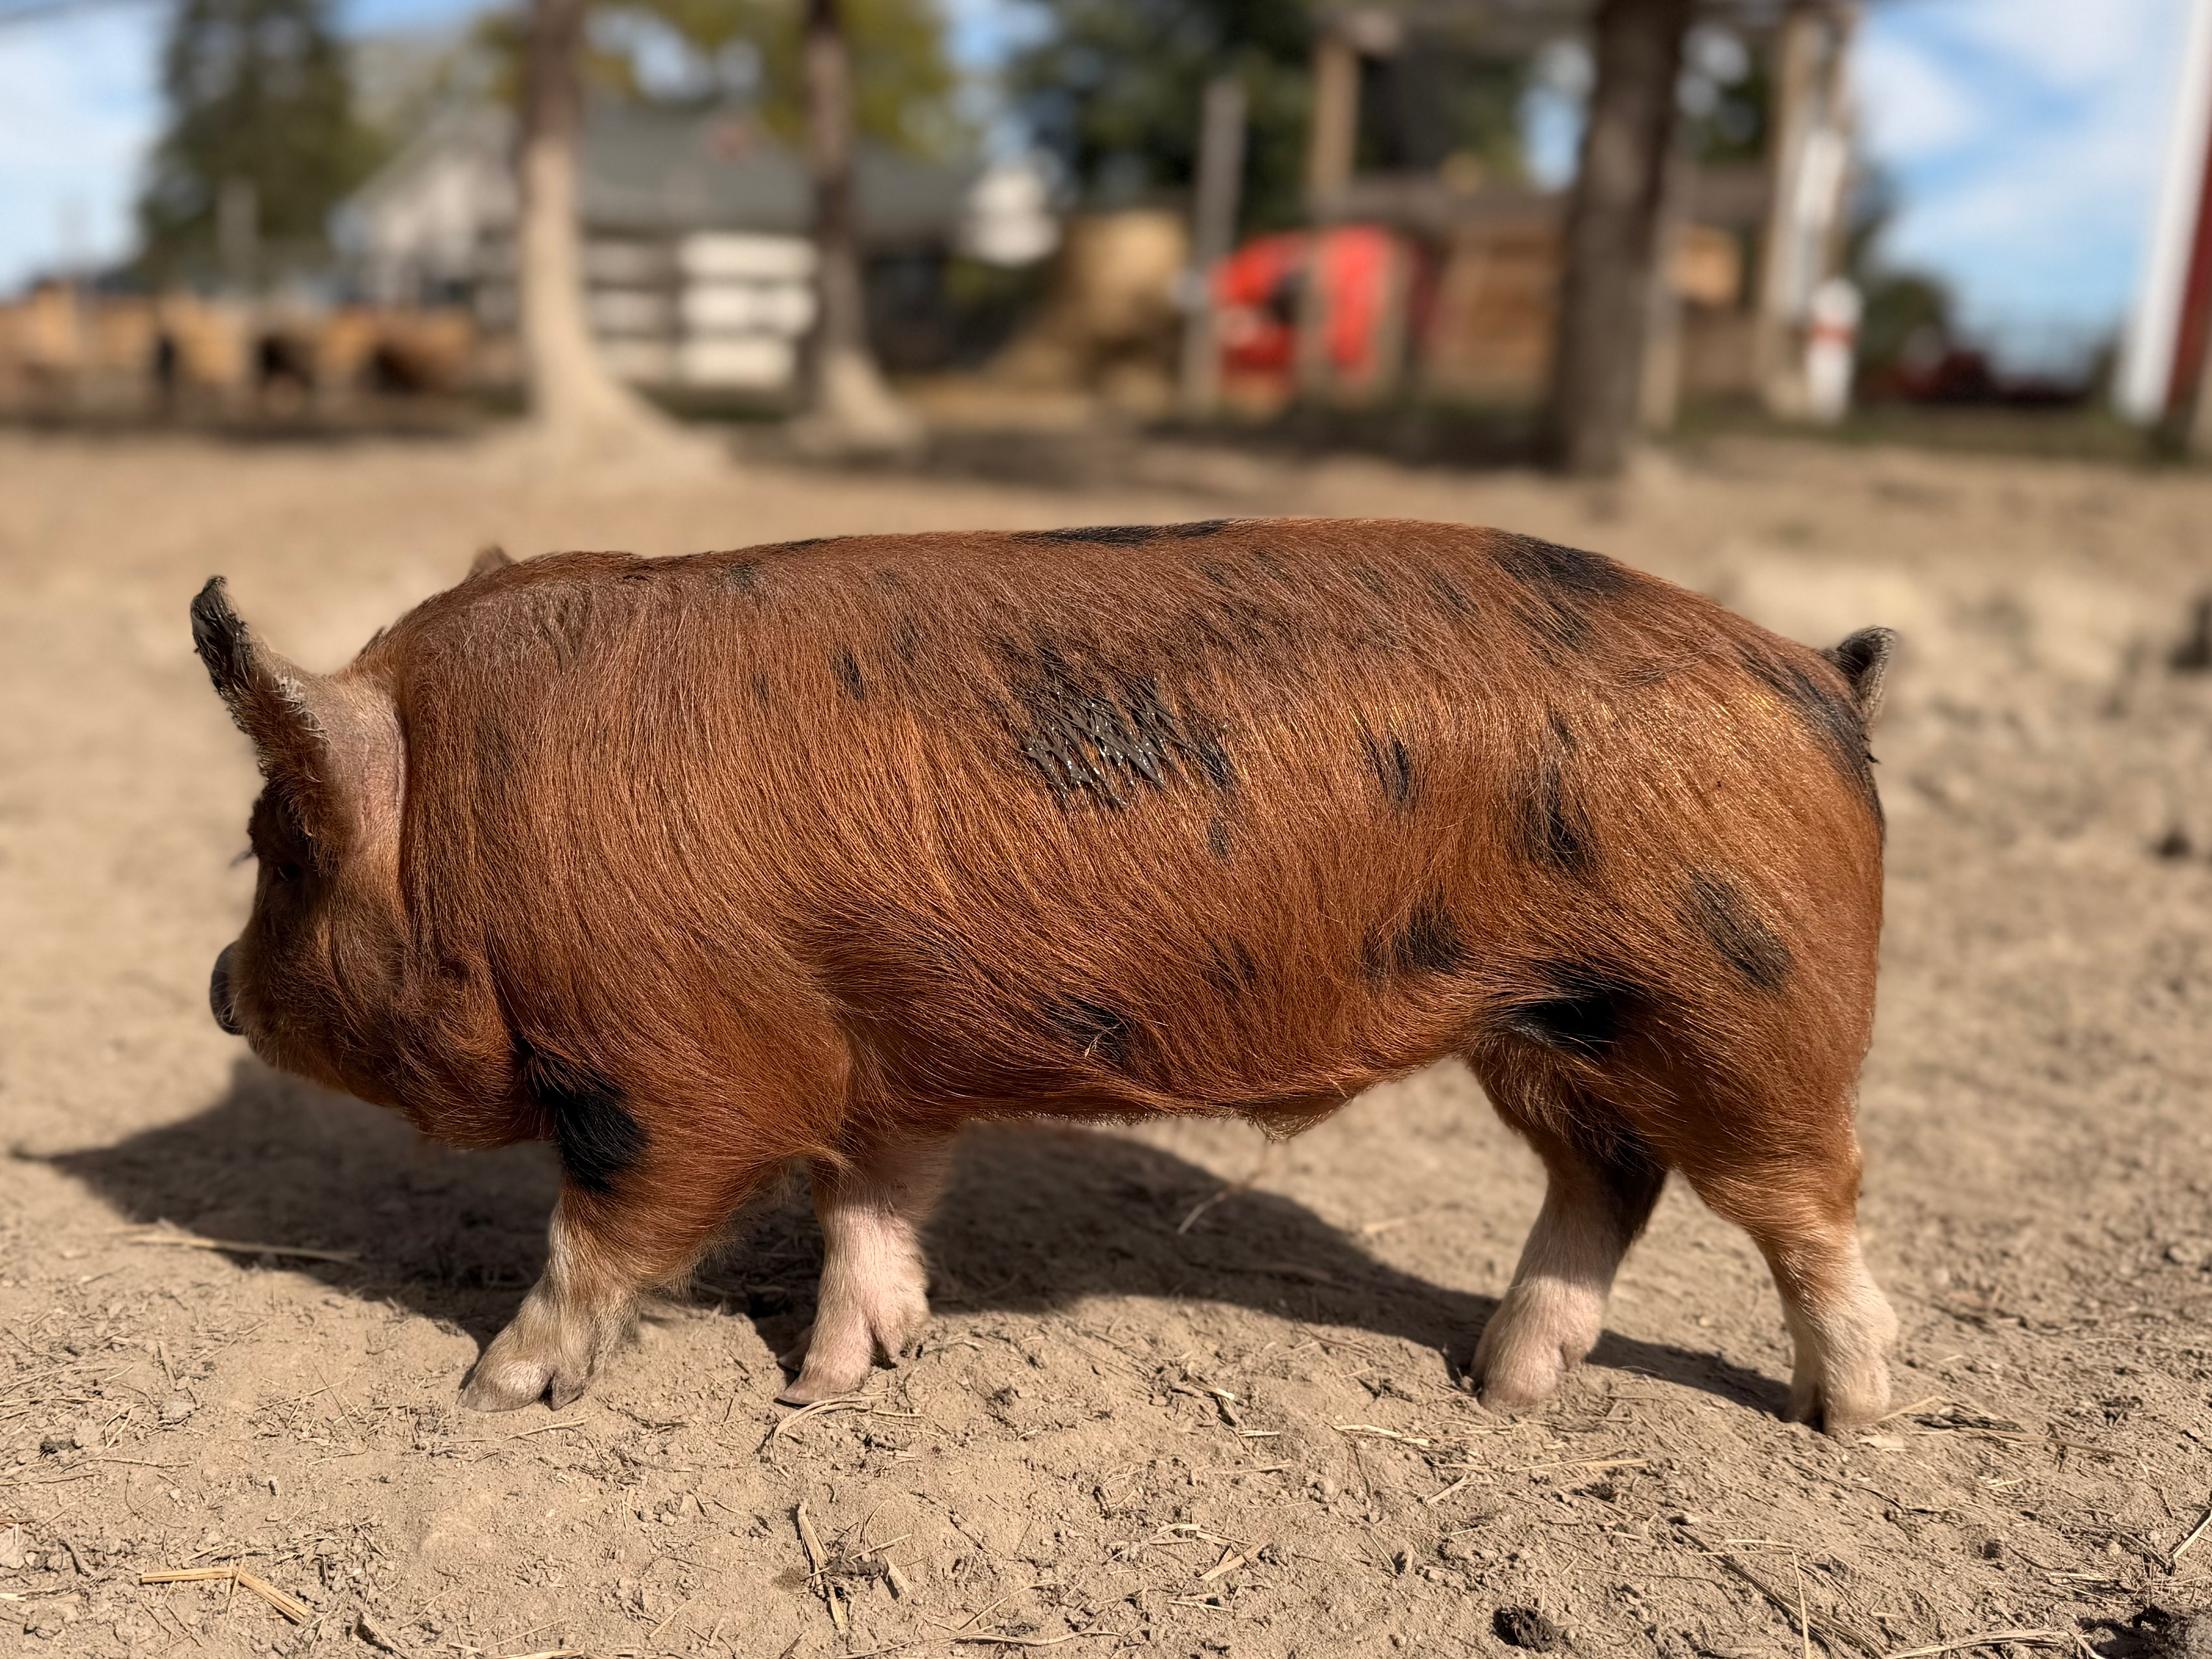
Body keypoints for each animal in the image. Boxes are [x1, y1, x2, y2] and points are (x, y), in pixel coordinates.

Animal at [194, 518, 1899, 1428]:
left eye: (275, 841)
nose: (216, 988)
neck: (464, 828)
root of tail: (1817, 674)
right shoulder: (869, 1052)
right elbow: (872, 1201)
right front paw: (834, 1382)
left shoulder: (681, 1065)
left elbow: (606, 1228)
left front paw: (492, 1387)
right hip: (1552, 1025)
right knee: (1609, 1180)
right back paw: (1495, 1386)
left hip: (1740, 1006)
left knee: (1806, 1201)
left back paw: (1848, 1416)